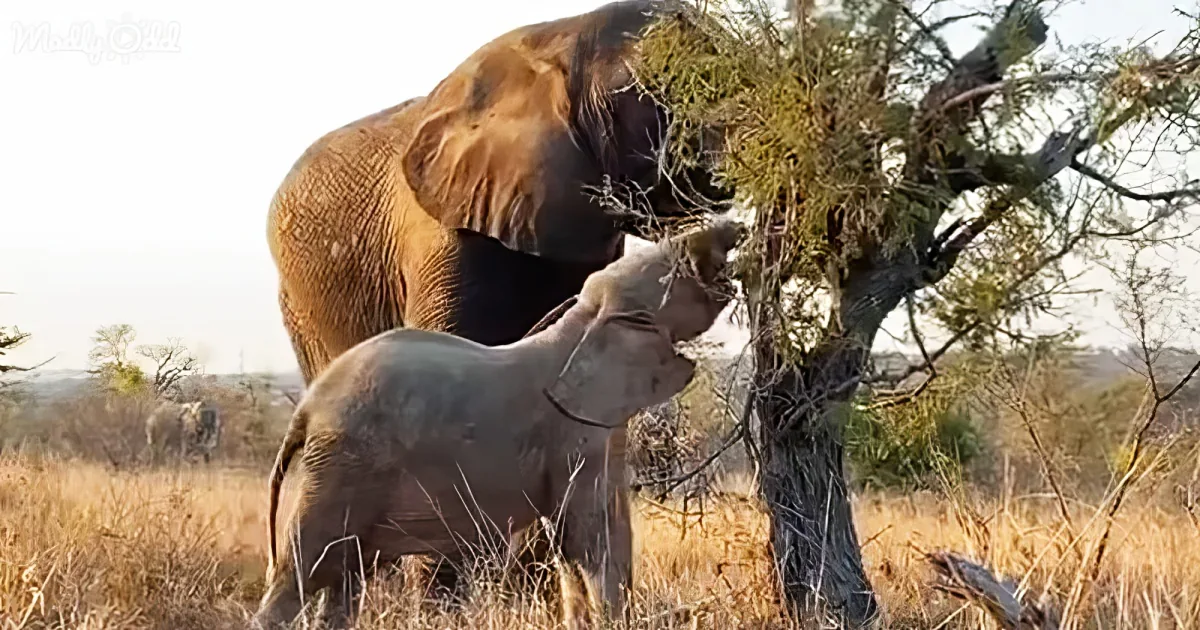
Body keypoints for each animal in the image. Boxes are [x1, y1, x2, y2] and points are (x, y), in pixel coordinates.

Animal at [251, 219, 744, 630]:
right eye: (676, 267)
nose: (734, 228)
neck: (582, 322)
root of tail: (304, 411)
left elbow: (576, 543)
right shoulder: (573, 433)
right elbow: (590, 537)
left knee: (342, 581)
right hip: (343, 466)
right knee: (300, 574)